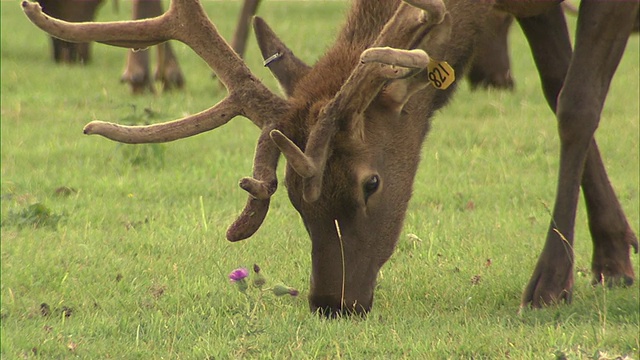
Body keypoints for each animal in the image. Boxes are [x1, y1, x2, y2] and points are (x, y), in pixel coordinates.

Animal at [22, 0, 636, 316]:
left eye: (371, 183)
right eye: (295, 201)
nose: (330, 303)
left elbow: (575, 105)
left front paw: (553, 282)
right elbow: (558, 86)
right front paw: (612, 255)